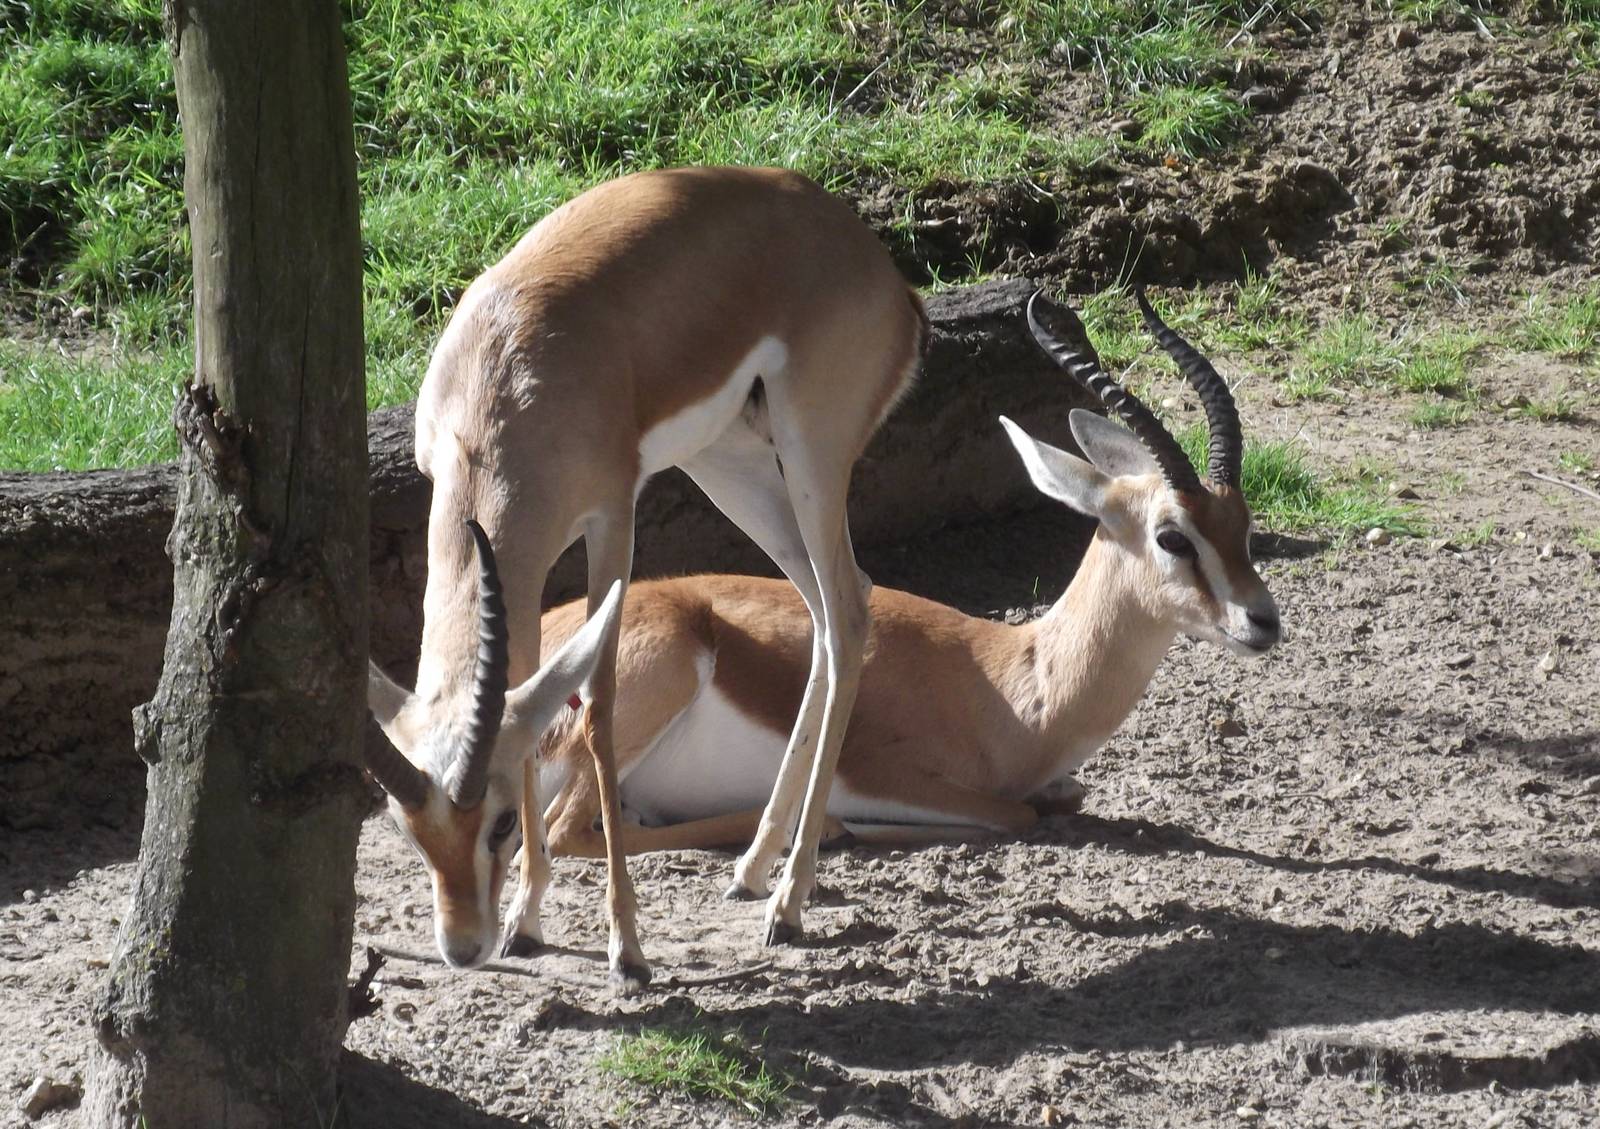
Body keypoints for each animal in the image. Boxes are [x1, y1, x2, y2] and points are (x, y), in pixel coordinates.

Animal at [364, 167, 926, 990]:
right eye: (412, 832)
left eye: (497, 823)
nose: (463, 946)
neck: (510, 376)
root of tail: (881, 269)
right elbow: (528, 691)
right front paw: (526, 920)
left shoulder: (613, 515)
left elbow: (595, 703)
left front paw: (625, 948)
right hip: (730, 463)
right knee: (828, 610)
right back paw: (752, 870)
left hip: (811, 455)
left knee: (850, 611)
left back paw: (788, 905)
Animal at [522, 291, 1281, 860]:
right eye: (1172, 537)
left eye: (1243, 525)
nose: (1263, 621)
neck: (1014, 685)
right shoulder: (889, 774)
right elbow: (1015, 814)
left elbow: (1066, 793)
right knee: (567, 832)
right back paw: (812, 831)